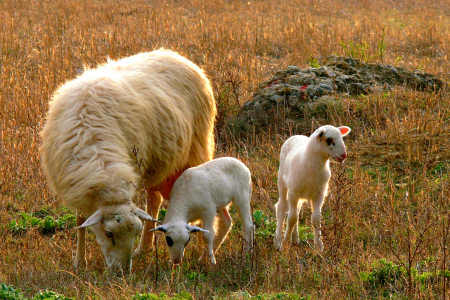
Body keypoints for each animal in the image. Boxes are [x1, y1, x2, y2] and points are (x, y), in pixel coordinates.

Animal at [41, 48, 217, 274]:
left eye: (134, 232)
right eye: (109, 234)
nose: (123, 272)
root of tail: (176, 55)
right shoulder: (79, 184)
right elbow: (81, 220)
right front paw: (80, 262)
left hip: (196, 150)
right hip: (156, 164)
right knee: (154, 200)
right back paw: (144, 249)